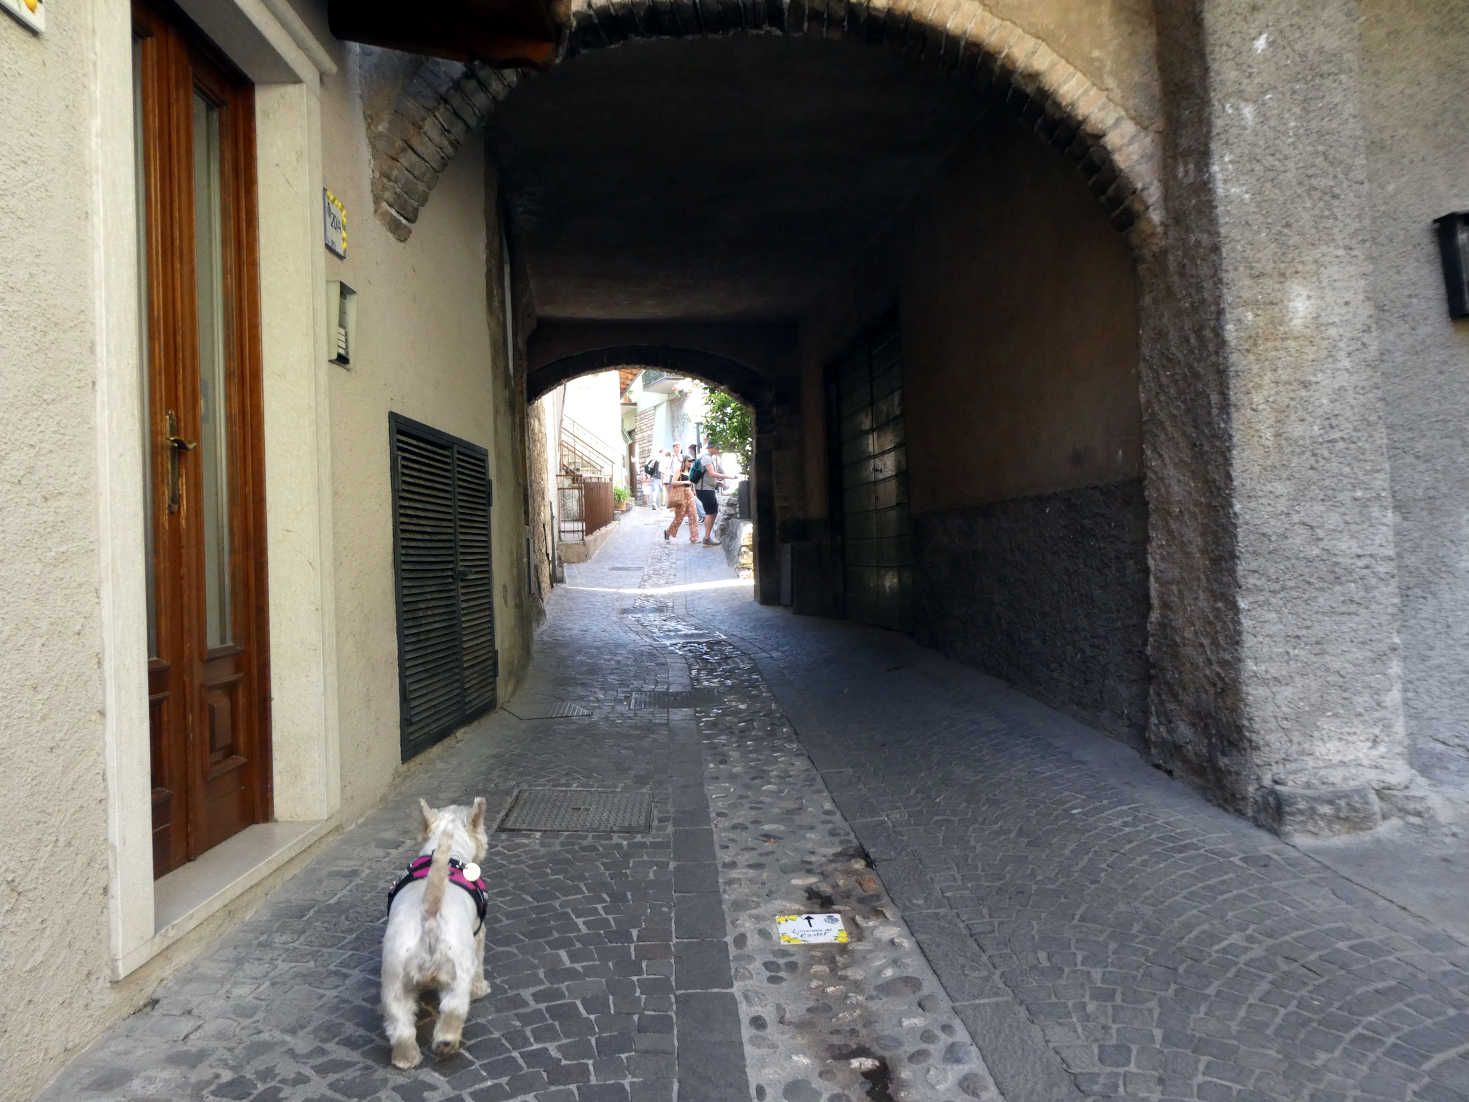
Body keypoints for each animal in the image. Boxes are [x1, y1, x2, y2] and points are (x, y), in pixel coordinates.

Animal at [381, 799, 490, 1063]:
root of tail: (428, 914)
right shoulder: (478, 933)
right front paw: (480, 988)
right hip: (456, 969)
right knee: (453, 1008)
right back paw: (446, 1042)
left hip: (395, 980)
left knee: (400, 1022)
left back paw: (406, 1059)